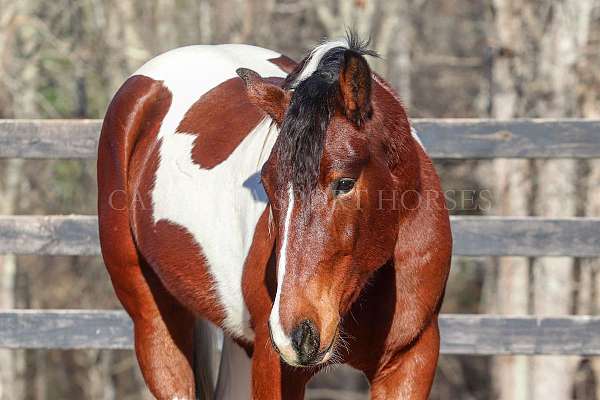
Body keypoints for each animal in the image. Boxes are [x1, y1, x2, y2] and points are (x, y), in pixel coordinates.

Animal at [98, 35, 452, 400]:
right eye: (267, 185)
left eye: (345, 183)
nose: (296, 334)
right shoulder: (273, 364)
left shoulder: (410, 359)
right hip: (155, 325)